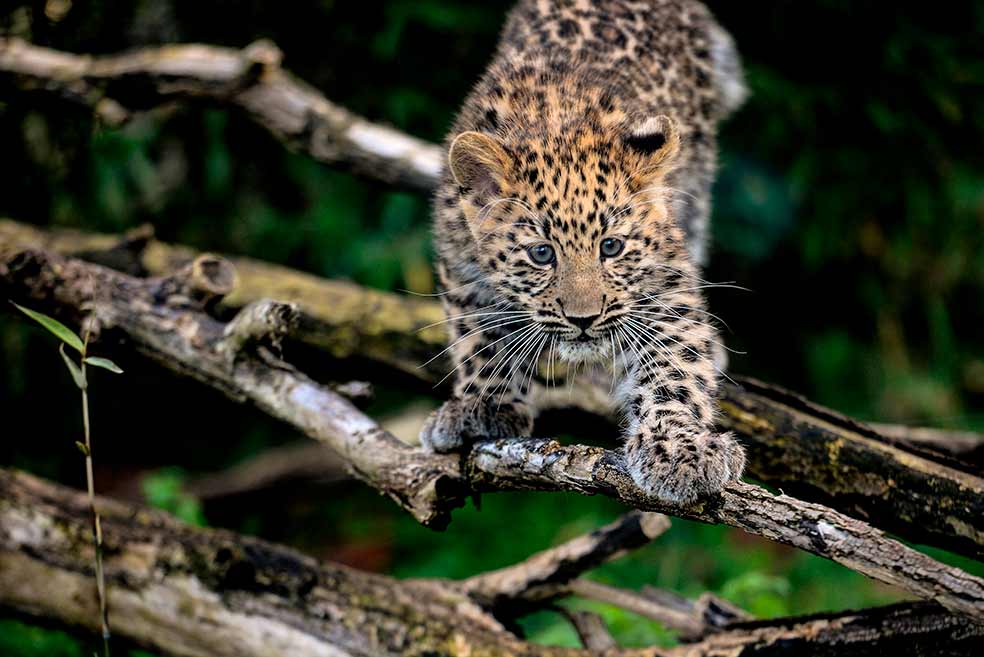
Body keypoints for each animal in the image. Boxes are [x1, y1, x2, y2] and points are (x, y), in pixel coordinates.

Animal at [420, 0, 748, 504]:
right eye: (541, 255)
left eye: (611, 247)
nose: (583, 319)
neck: (558, 123)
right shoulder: (460, 261)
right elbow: (478, 336)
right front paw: (482, 404)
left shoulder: (664, 284)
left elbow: (675, 367)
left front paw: (682, 451)